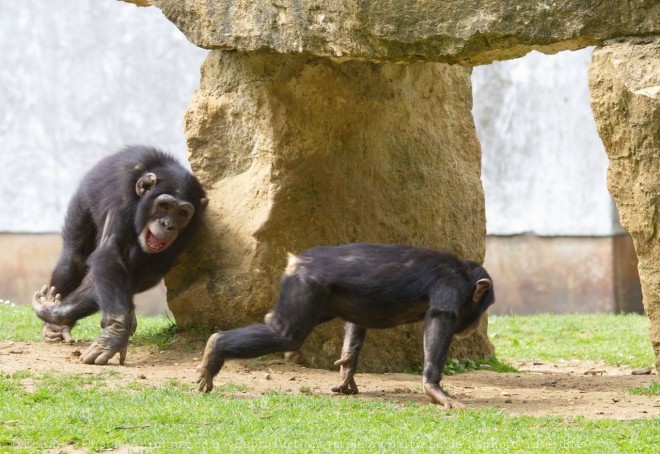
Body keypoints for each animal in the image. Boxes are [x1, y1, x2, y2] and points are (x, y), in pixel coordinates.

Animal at [32, 145, 208, 366]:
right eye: (164, 206)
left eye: (182, 213)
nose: (168, 225)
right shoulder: (122, 196)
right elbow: (109, 252)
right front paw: (115, 333)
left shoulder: (193, 229)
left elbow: (144, 271)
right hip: (83, 198)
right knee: (72, 258)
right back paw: (55, 328)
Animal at [196, 243, 496, 410]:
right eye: (487, 305)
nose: (476, 323)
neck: (463, 276)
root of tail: (296, 260)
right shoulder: (449, 287)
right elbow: (438, 321)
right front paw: (434, 388)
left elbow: (357, 323)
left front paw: (346, 374)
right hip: (305, 286)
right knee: (285, 335)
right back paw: (215, 349)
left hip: (320, 300)